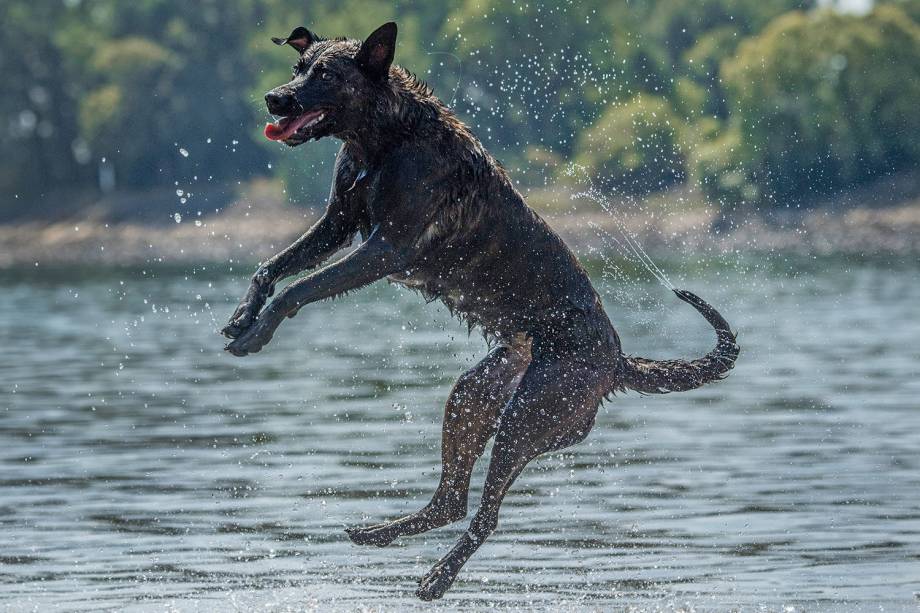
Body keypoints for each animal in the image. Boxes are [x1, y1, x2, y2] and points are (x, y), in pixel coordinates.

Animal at [225, 22, 740, 596]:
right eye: (298, 67)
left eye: (326, 74)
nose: (274, 98)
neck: (385, 139)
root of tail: (618, 361)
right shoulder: (338, 224)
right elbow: (272, 267)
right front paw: (242, 317)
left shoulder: (384, 250)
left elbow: (299, 289)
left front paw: (256, 334)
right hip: (474, 396)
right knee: (451, 499)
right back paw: (378, 534)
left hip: (529, 414)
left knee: (485, 514)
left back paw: (437, 577)